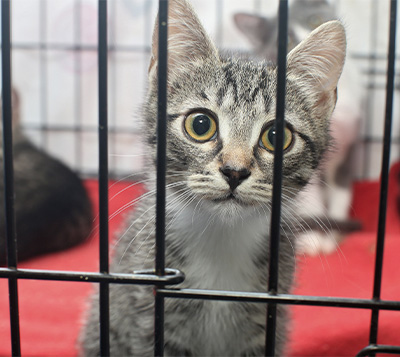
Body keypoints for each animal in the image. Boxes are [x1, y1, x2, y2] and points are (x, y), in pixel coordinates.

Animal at [79, 0, 346, 354]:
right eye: (200, 124)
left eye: (277, 136)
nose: (235, 171)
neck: (221, 237)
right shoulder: (150, 317)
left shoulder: (265, 321)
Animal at [234, 0, 362, 253]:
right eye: (285, 41)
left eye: (314, 20)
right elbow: (311, 197)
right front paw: (315, 239)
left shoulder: (350, 148)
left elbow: (341, 192)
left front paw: (335, 233)